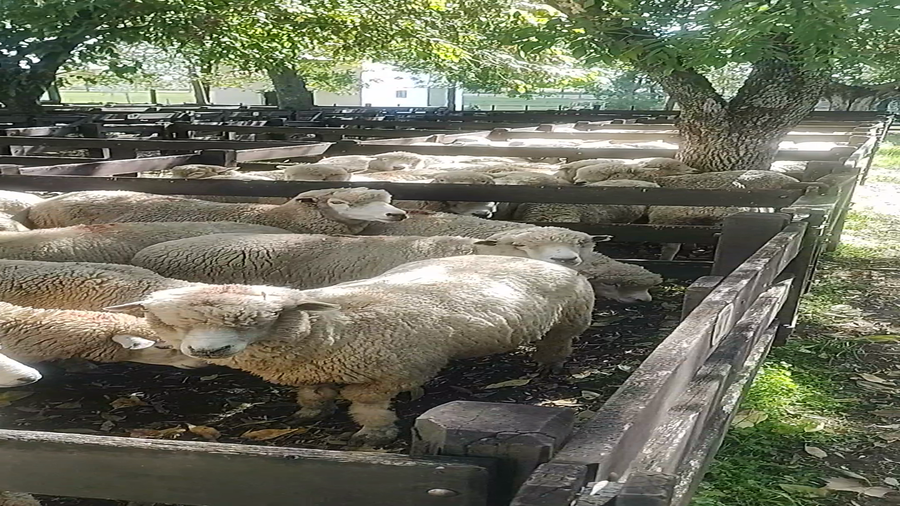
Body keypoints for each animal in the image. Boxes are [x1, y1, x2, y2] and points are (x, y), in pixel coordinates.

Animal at [104, 255, 595, 445]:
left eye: (261, 320)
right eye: (173, 323)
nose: (211, 351)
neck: (333, 328)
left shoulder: (384, 374)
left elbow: (367, 407)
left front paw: (373, 436)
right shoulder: (313, 372)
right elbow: (314, 396)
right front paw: (308, 414)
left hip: (569, 321)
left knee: (557, 344)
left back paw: (549, 368)